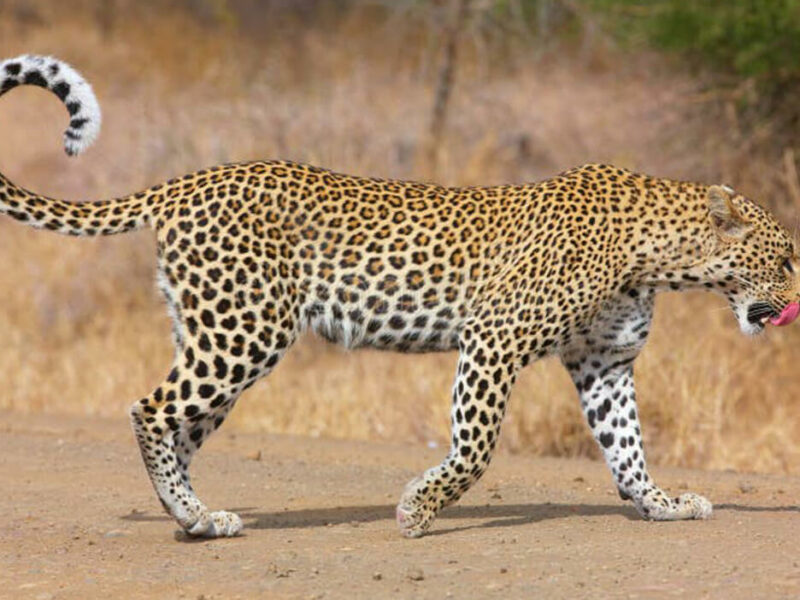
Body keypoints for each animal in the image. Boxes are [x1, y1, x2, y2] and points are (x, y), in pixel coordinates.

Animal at [1, 54, 798, 539]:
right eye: (786, 257)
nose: (798, 295)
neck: (658, 255)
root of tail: (187, 180)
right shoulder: (495, 341)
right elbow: (476, 447)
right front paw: (418, 510)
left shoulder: (604, 363)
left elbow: (627, 447)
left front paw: (664, 505)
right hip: (244, 331)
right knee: (150, 410)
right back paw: (194, 514)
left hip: (215, 334)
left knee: (182, 426)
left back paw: (197, 518)